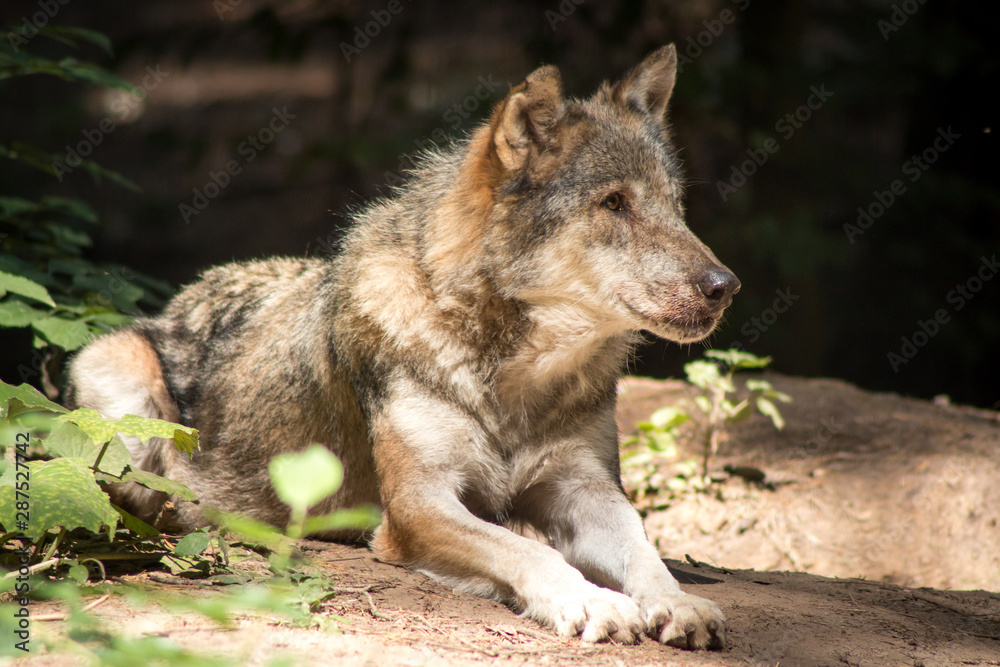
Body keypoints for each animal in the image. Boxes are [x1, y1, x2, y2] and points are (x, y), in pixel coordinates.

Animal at [69, 44, 738, 650]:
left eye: (675, 207)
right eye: (614, 203)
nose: (725, 287)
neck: (511, 379)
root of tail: (183, 296)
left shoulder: (587, 489)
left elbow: (643, 546)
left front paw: (679, 602)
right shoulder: (418, 505)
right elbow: (529, 551)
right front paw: (589, 600)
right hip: (115, 380)